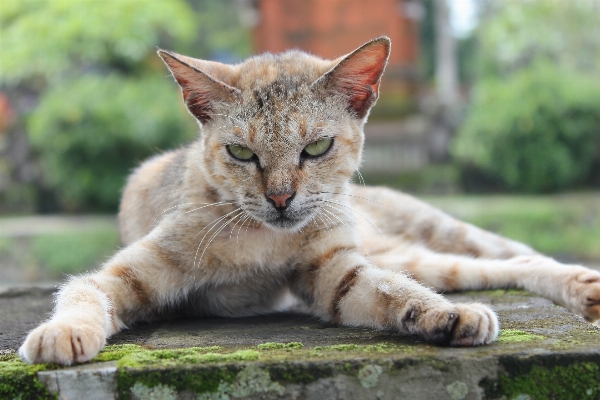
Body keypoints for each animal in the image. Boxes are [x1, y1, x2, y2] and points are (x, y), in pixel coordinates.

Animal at [18, 36, 600, 364]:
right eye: (241, 152)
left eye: (316, 147)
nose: (280, 198)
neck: (263, 242)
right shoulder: (130, 271)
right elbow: (82, 292)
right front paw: (61, 333)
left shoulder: (335, 268)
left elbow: (391, 291)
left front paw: (446, 316)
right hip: (421, 256)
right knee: (496, 267)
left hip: (432, 235)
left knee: (517, 256)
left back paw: (580, 285)